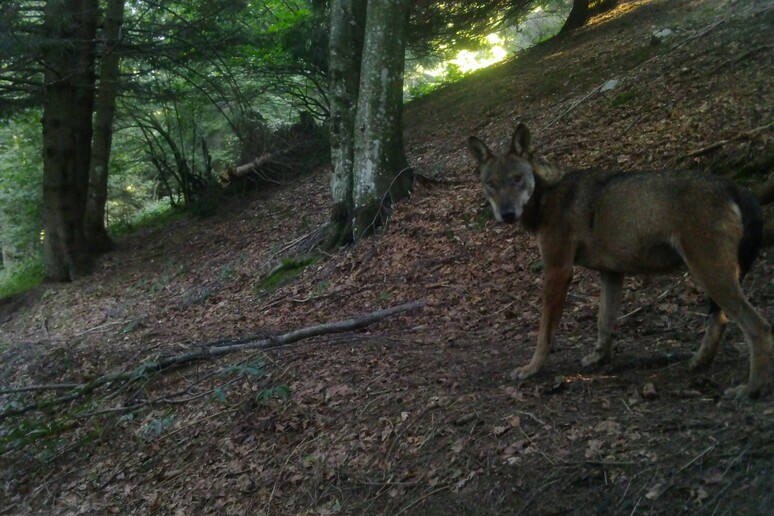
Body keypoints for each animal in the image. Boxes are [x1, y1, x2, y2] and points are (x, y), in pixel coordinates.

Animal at [470, 124, 772, 400]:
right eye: (491, 184)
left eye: (517, 179)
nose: (507, 213)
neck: (547, 194)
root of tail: (735, 186)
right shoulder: (611, 273)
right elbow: (604, 322)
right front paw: (600, 359)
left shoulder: (558, 271)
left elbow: (545, 332)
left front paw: (532, 369)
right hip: (713, 277)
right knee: (720, 320)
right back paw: (698, 363)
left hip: (709, 274)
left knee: (758, 327)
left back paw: (751, 389)